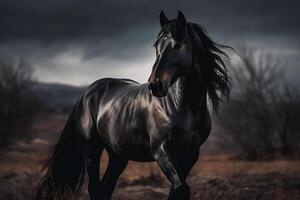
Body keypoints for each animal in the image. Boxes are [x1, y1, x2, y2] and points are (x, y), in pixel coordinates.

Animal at [36, 10, 231, 200]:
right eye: (156, 46)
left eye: (177, 45)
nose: (155, 85)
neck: (183, 107)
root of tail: (87, 93)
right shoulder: (161, 151)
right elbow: (181, 189)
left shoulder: (190, 154)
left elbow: (177, 190)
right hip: (92, 150)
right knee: (94, 188)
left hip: (118, 156)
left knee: (105, 188)